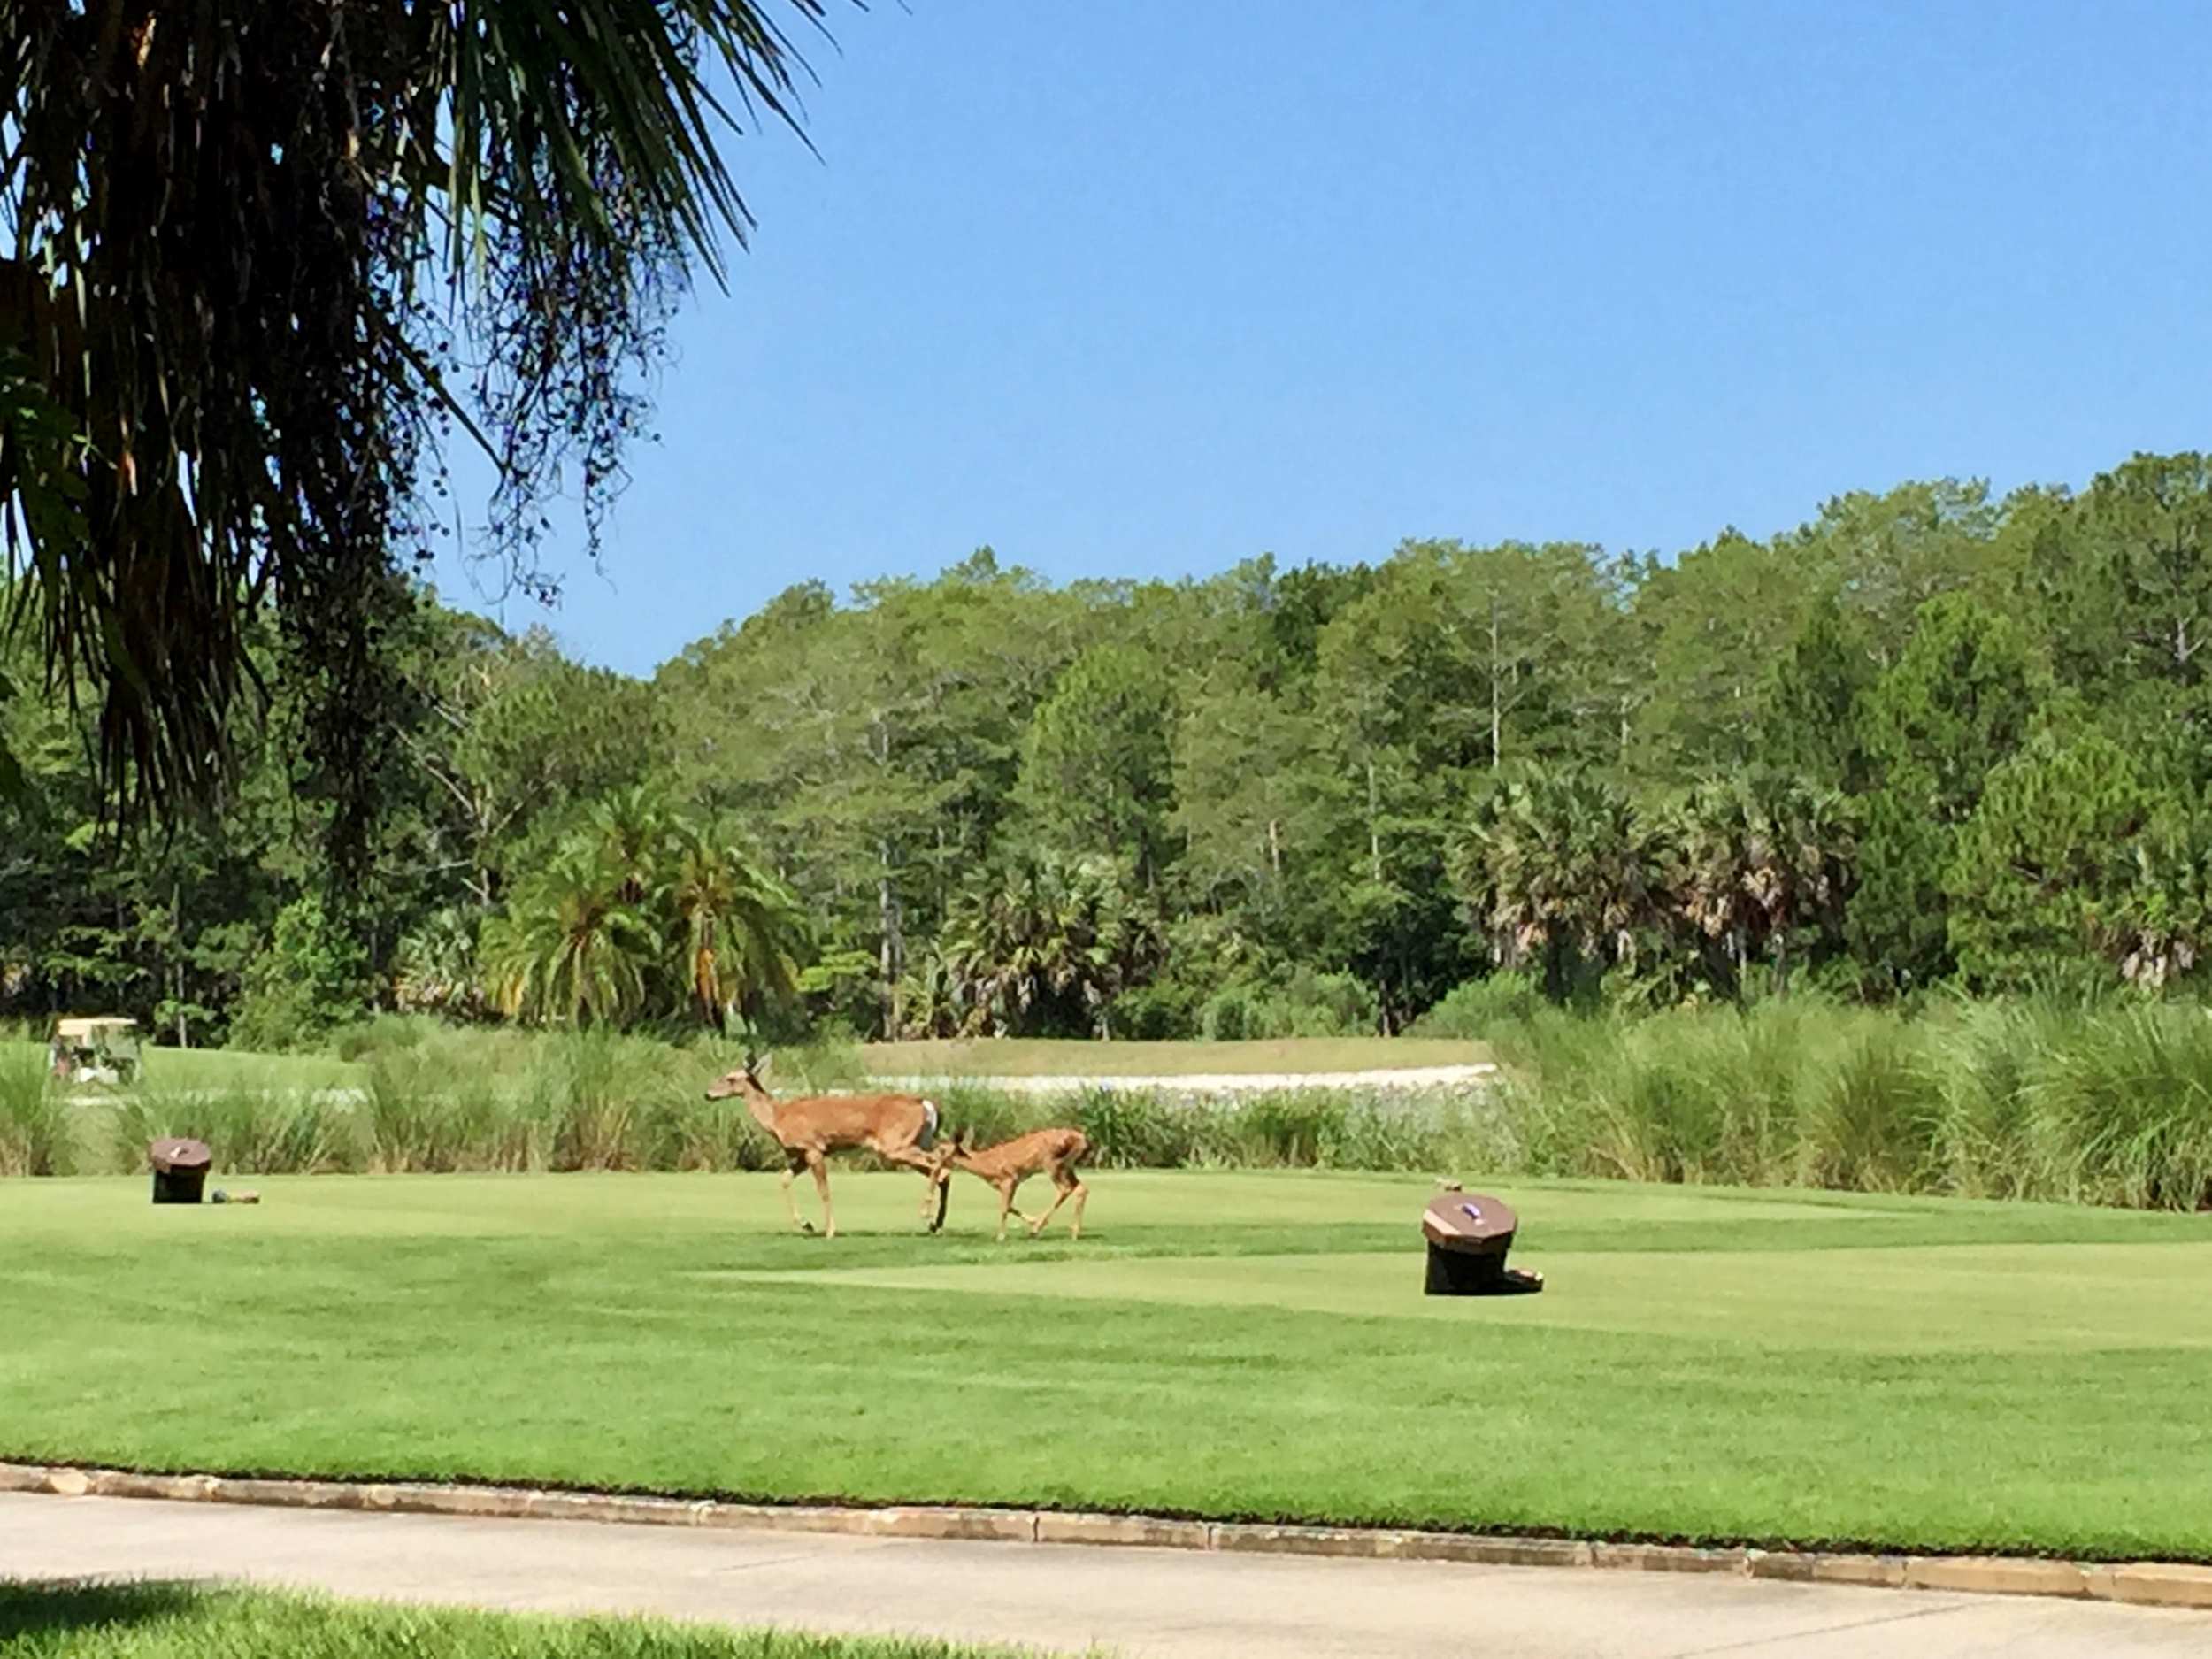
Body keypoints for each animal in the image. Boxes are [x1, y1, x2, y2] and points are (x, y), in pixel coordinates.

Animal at [708, 1057, 951, 1239]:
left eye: (730, 1078)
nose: (707, 1094)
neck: (778, 1118)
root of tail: (926, 1105)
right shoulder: (802, 1154)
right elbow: (784, 1179)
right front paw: (807, 1224)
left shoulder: (813, 1149)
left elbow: (824, 1190)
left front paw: (830, 1230)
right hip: (916, 1141)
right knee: (943, 1172)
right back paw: (935, 1225)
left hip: (895, 1145)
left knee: (938, 1160)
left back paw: (925, 1214)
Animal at [933, 1133, 1088, 1248]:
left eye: (942, 1150)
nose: (932, 1160)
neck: (986, 1165)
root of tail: (1081, 1138)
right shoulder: (1003, 1185)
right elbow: (1009, 1207)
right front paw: (1032, 1221)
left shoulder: (1010, 1180)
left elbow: (1004, 1208)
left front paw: (1000, 1237)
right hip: (1067, 1166)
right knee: (1081, 1188)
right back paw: (1074, 1233)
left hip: (1052, 1164)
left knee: (1066, 1189)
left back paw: (1037, 1229)